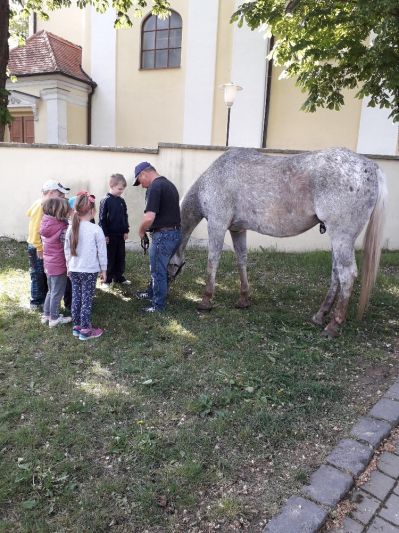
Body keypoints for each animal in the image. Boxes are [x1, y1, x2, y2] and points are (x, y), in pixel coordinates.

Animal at [170, 148, 388, 334]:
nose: (166, 286)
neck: (214, 178)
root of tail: (371, 166)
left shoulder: (217, 224)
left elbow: (212, 261)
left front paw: (205, 302)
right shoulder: (237, 229)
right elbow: (241, 261)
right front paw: (243, 299)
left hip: (341, 237)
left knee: (347, 274)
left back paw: (333, 326)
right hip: (336, 239)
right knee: (336, 274)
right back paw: (319, 316)